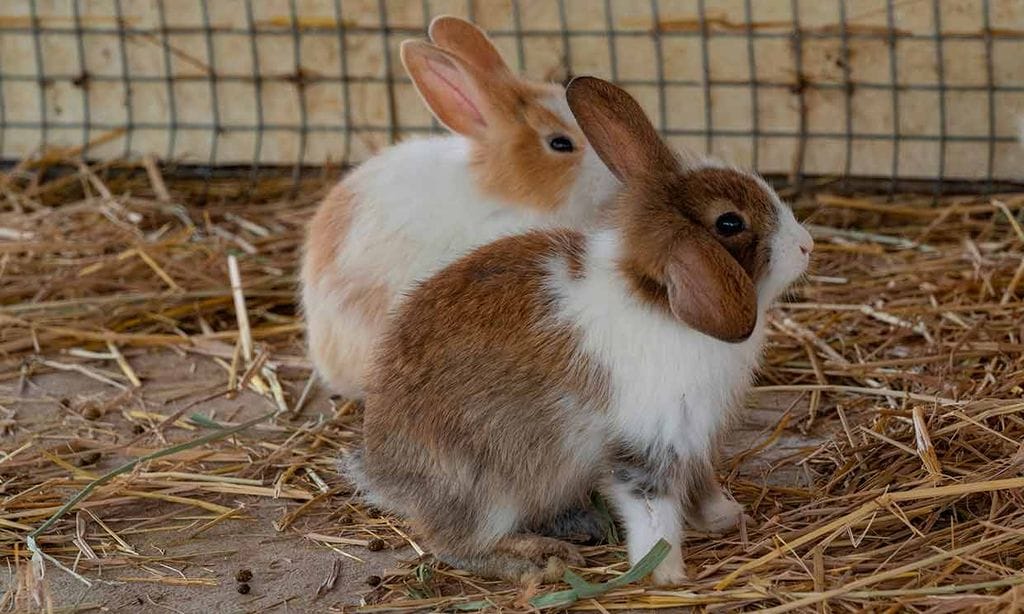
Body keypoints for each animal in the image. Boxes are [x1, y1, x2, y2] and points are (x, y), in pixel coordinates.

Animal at [352, 76, 815, 585]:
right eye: (730, 222)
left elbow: (700, 484)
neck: (659, 302)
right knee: (456, 545)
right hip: (487, 490)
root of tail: (384, 476)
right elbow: (653, 512)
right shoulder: (646, 445)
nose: (806, 245)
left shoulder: (695, 440)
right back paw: (540, 558)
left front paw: (725, 516)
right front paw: (667, 574)